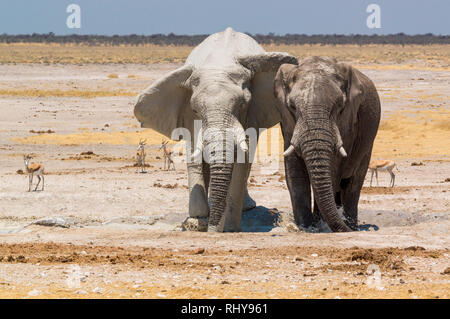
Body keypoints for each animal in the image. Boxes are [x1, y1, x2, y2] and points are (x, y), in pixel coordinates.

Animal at [133, 27, 298, 232]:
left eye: (242, 104)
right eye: (195, 109)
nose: (212, 230)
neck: (220, 62)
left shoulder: (251, 113)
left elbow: (242, 159)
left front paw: (228, 227)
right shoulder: (188, 116)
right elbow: (194, 155)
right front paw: (197, 220)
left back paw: (245, 207)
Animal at [274, 57, 380, 232]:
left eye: (339, 106)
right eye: (292, 107)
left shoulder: (347, 122)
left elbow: (333, 171)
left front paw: (321, 226)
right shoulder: (287, 123)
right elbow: (295, 173)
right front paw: (305, 227)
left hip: (368, 142)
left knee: (353, 183)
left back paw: (352, 225)